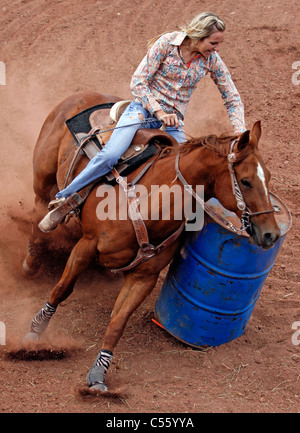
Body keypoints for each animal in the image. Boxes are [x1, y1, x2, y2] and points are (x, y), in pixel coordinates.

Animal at [22, 91, 278, 392]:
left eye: (268, 177)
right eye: (246, 181)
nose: (272, 234)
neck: (149, 204)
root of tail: (82, 95)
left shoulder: (144, 277)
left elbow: (118, 322)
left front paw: (98, 375)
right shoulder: (86, 245)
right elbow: (62, 289)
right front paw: (35, 333)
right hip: (43, 180)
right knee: (39, 216)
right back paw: (32, 258)